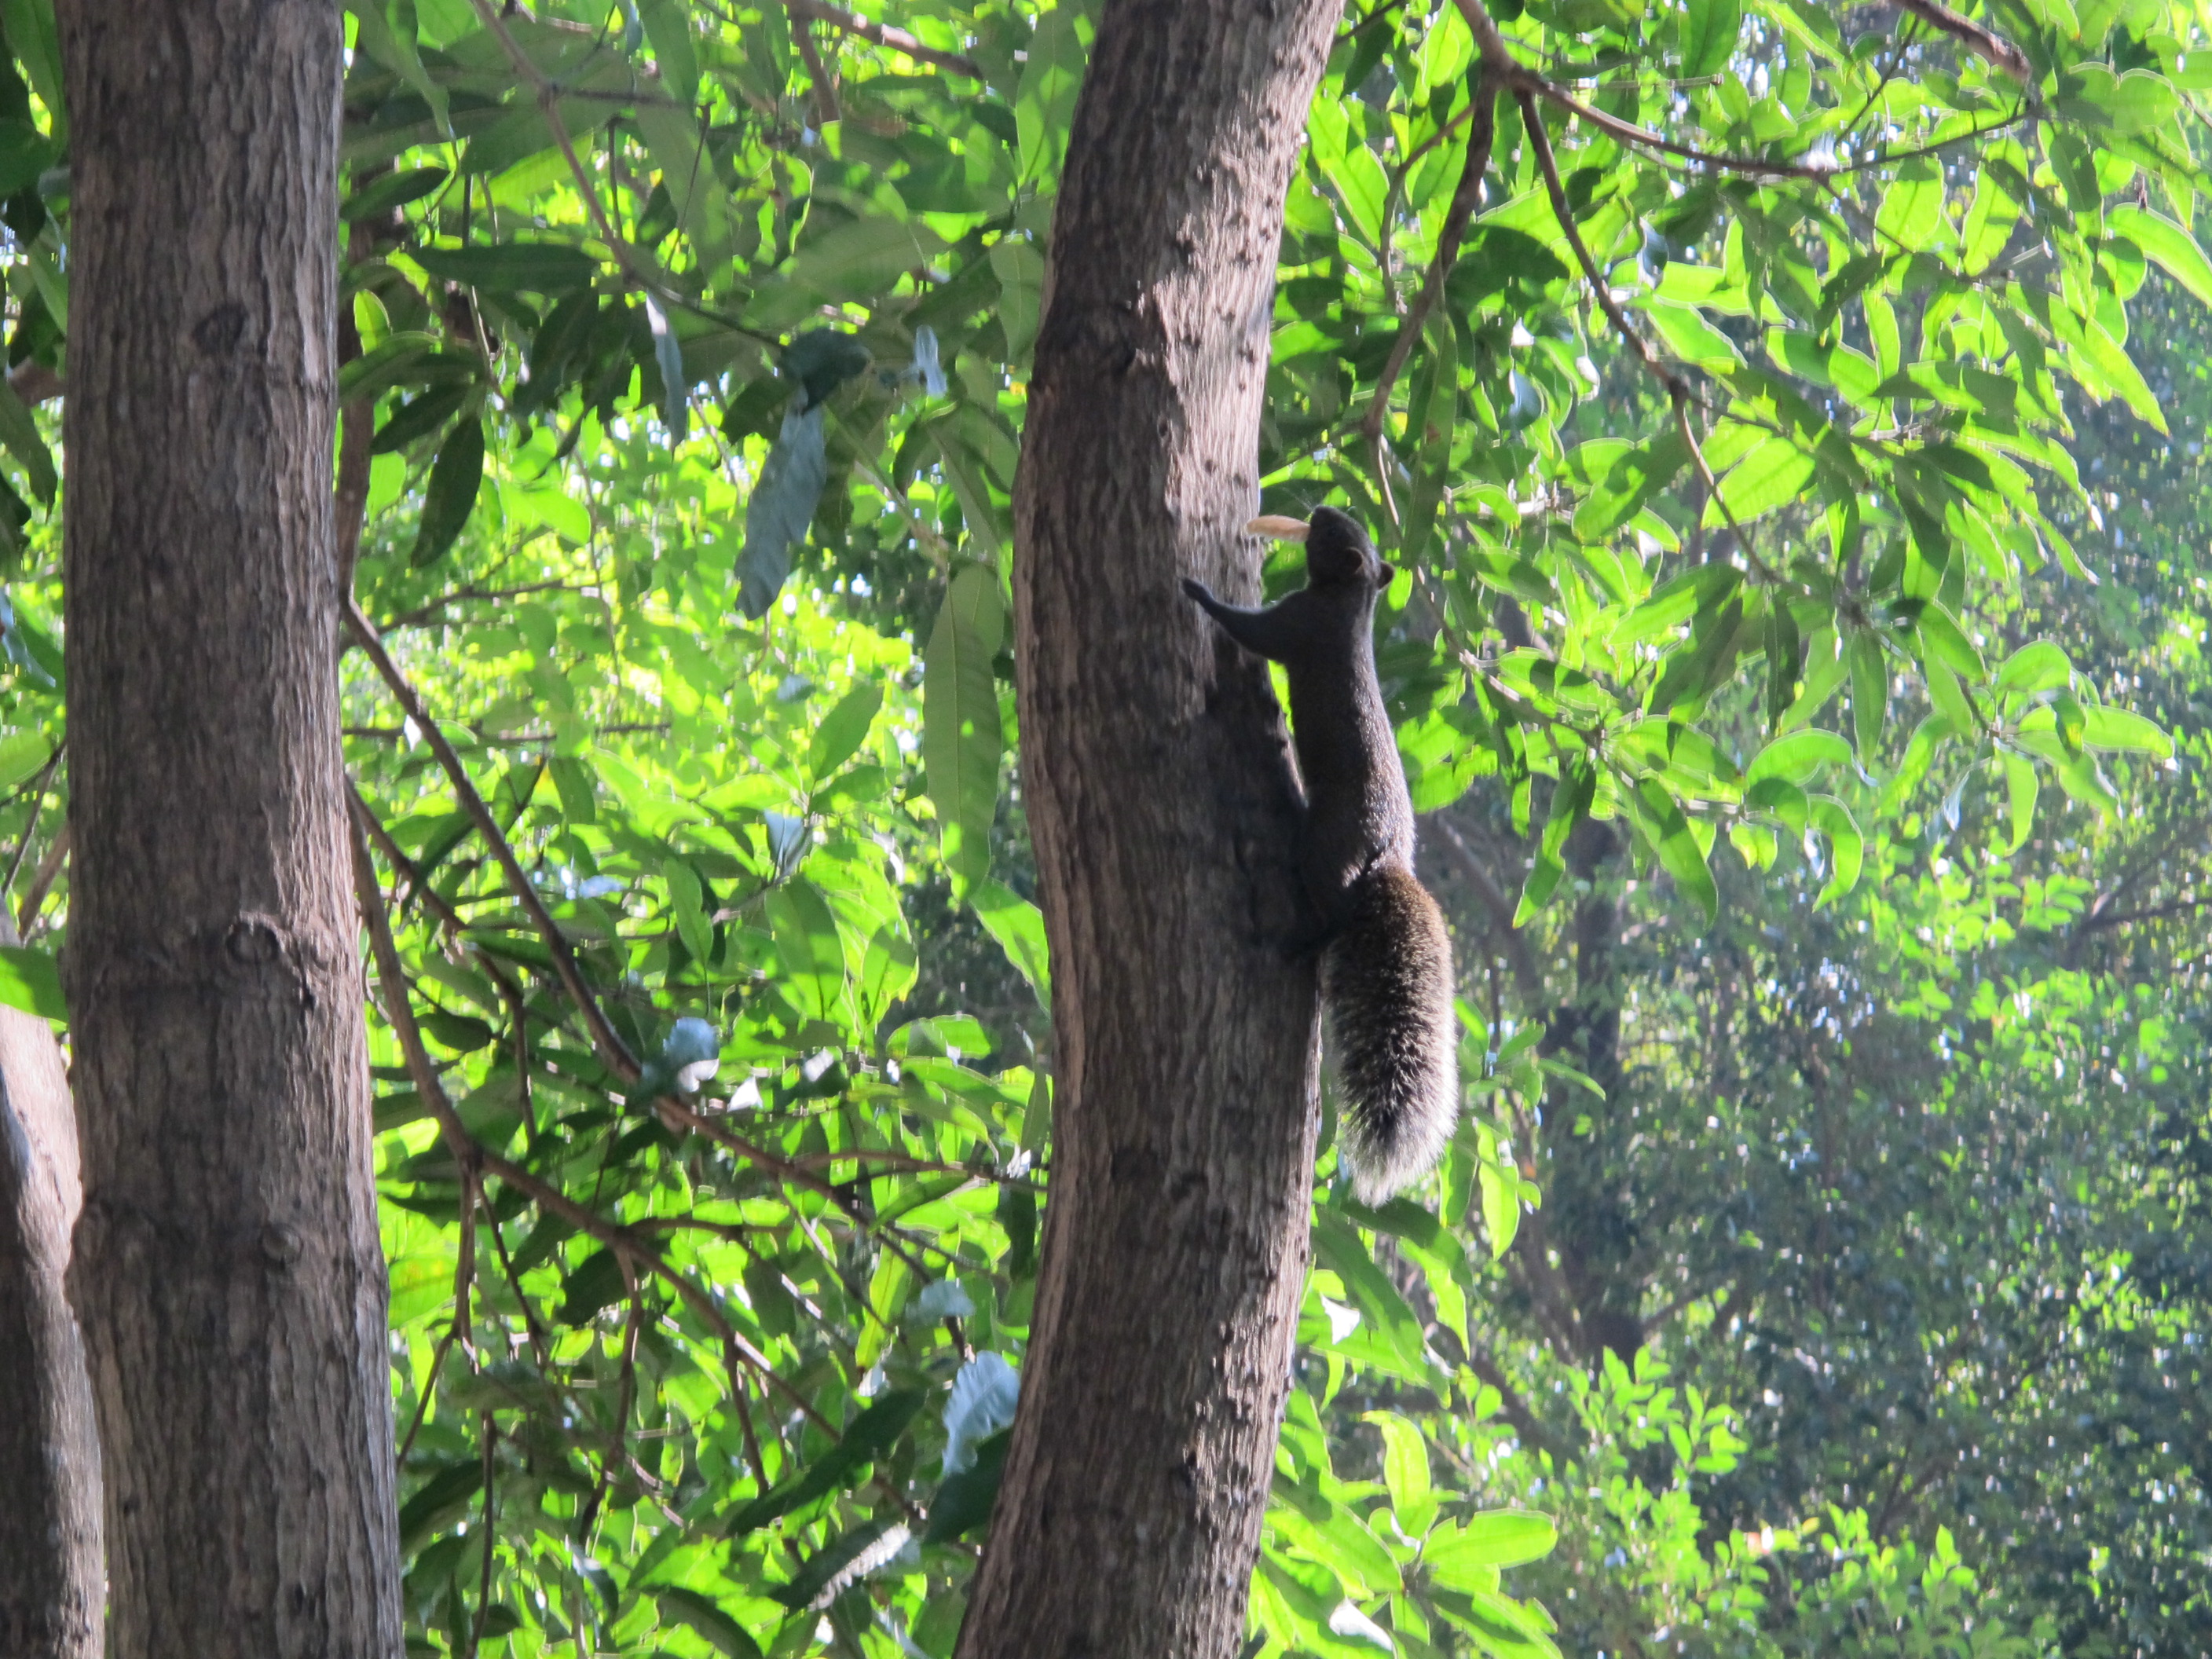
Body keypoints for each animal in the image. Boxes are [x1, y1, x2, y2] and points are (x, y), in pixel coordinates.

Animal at [1185, 506, 1459, 1212]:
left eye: (1340, 532)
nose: (1317, 511)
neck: (1349, 604)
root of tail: (1389, 859)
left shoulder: (1297, 624)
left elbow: (1251, 630)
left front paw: (1198, 592)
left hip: (1323, 846)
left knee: (1335, 909)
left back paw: (1305, 942)